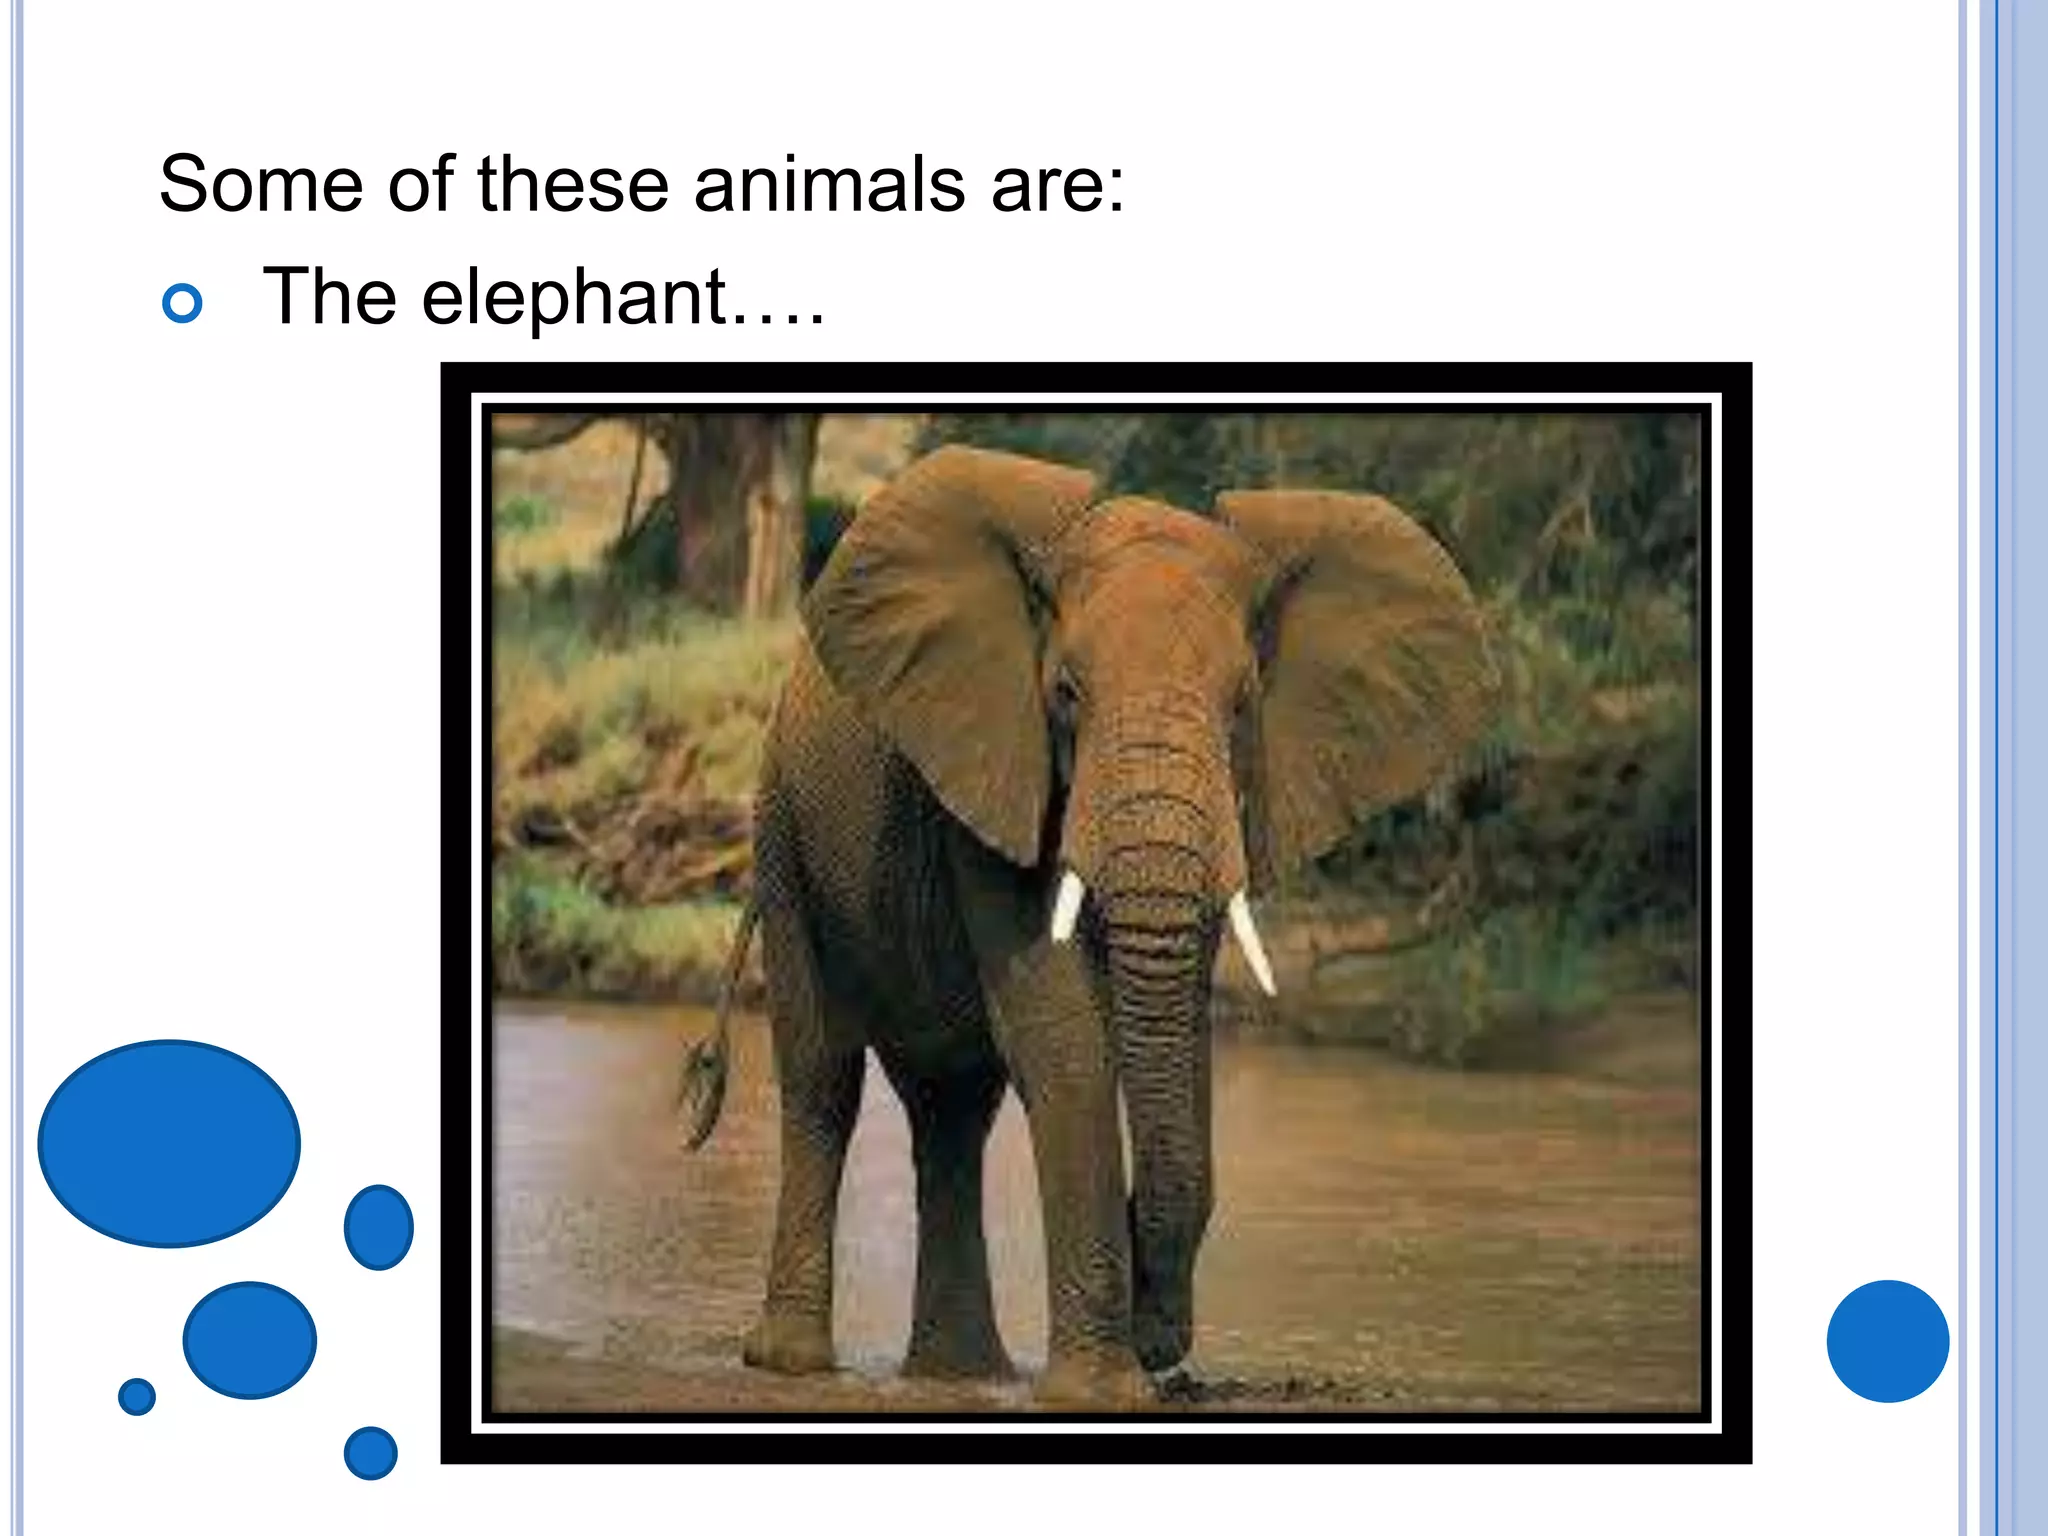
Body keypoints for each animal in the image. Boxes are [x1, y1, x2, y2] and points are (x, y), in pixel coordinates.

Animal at [678, 445, 1498, 1405]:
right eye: (1065, 694)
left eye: (1244, 705)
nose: (1164, 1342)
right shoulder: (996, 761)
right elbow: (1065, 1038)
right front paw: (1105, 1394)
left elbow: (1180, 1037)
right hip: (784, 836)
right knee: (823, 1078)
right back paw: (796, 1366)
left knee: (951, 1114)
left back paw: (960, 1376)